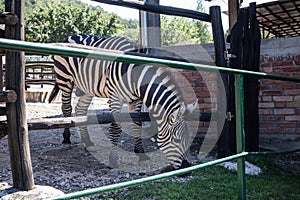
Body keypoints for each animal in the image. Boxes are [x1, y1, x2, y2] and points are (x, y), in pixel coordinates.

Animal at [49, 33, 197, 170]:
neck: (135, 75)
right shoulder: (115, 97)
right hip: (65, 79)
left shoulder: (136, 100)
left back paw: (88, 143)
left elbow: (136, 124)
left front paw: (141, 154)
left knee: (80, 109)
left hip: (87, 87)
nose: (187, 168)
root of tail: (72, 35)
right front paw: (113, 160)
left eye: (189, 138)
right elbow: (115, 128)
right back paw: (66, 140)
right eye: (177, 140)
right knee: (67, 108)